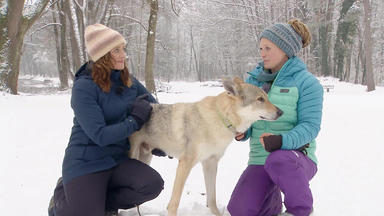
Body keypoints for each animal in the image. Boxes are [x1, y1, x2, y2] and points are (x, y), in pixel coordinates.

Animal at [129, 77, 282, 216]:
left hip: (146, 158)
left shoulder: (211, 163)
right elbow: (174, 203)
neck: (220, 119)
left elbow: (212, 198)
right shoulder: (185, 164)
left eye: (266, 97)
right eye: (260, 99)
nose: (281, 112)